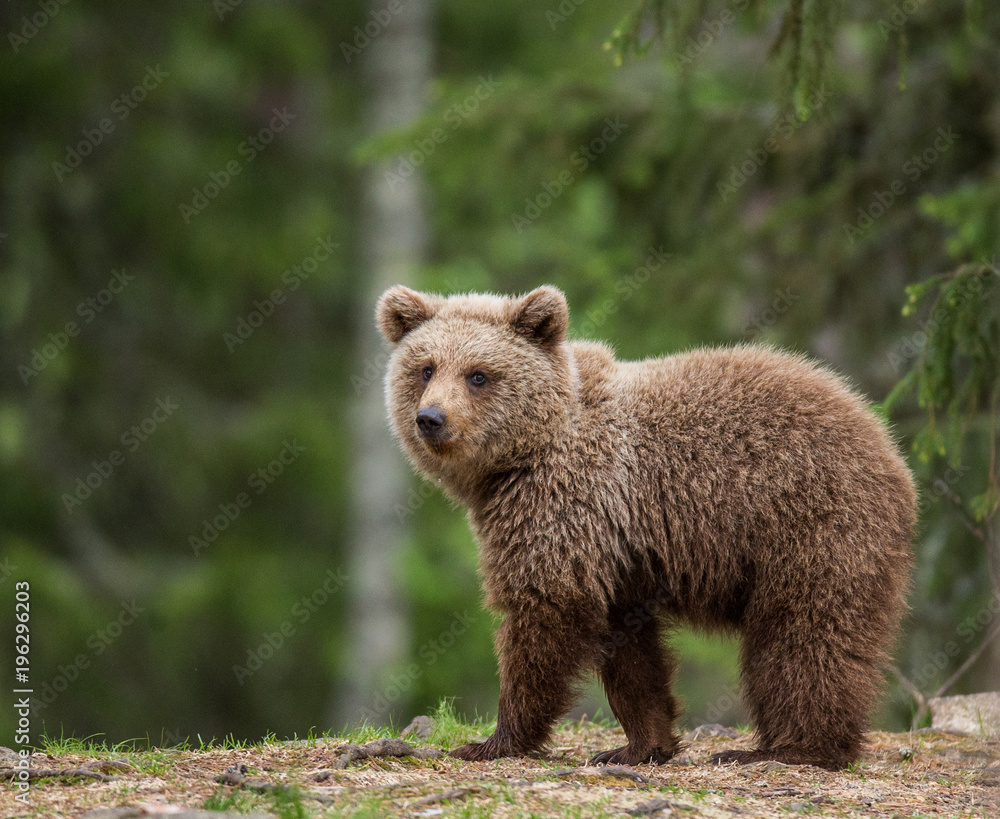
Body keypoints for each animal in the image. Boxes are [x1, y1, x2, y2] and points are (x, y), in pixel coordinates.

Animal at [376, 284, 916, 771]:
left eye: (479, 374)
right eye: (425, 367)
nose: (431, 418)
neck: (519, 460)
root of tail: (887, 444)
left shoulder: (566, 505)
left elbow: (546, 609)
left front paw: (493, 740)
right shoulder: (617, 553)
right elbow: (631, 652)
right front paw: (637, 745)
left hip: (809, 525)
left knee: (805, 634)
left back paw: (790, 749)